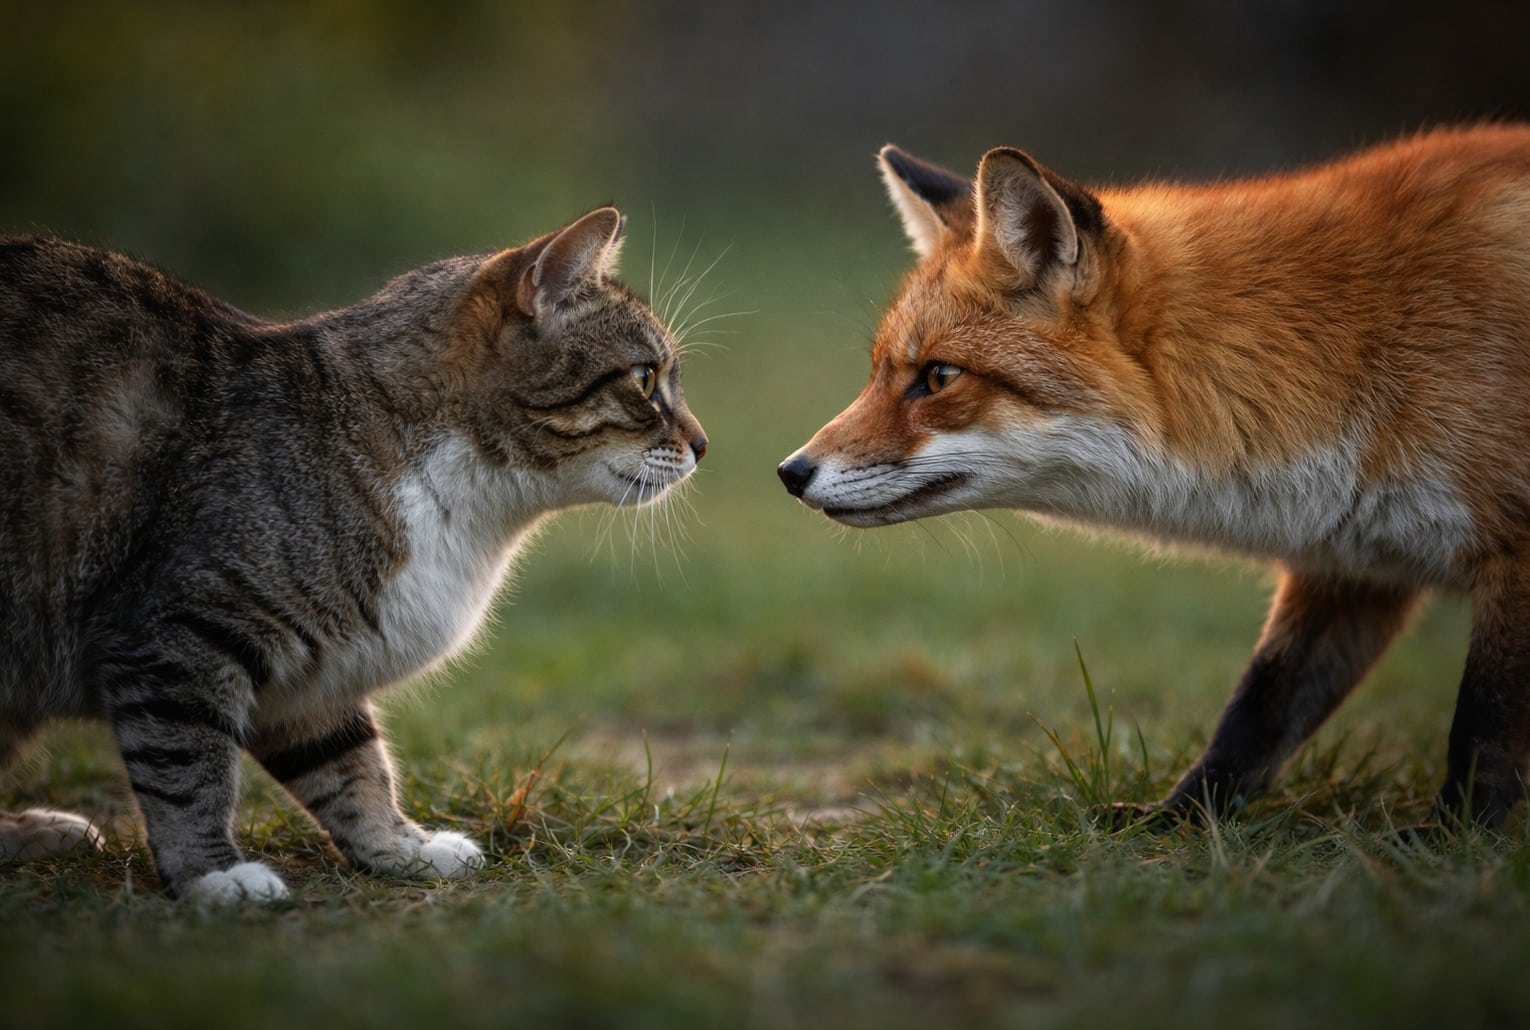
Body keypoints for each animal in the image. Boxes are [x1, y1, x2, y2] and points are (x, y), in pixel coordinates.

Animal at [778, 124, 1530, 829]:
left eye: (937, 377)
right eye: (879, 372)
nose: (790, 471)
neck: (1350, 351)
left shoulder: (1509, 552)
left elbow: (1482, 723)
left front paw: (1455, 838)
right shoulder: (1352, 565)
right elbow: (1259, 709)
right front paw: (1180, 820)